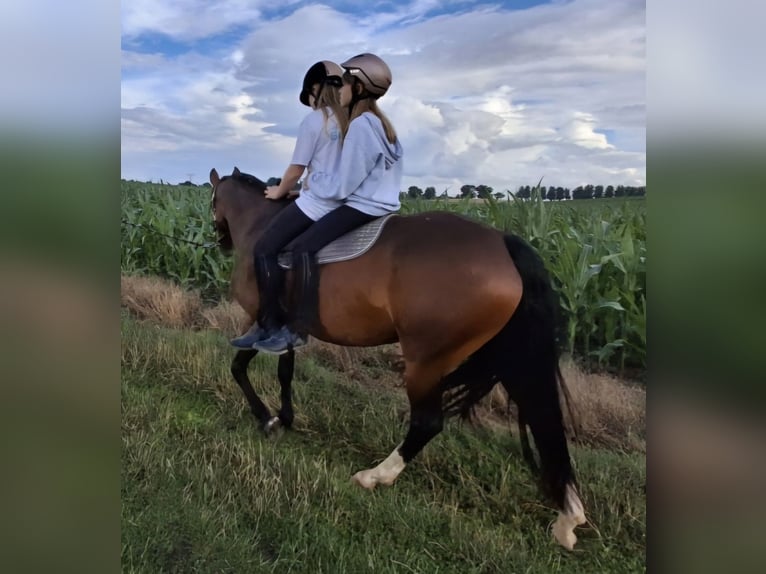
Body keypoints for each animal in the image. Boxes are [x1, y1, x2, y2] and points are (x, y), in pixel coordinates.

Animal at [209, 167, 586, 549]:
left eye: (212, 200)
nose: (220, 240)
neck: (260, 222)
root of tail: (503, 244)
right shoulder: (287, 330)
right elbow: (285, 371)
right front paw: (284, 418)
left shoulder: (261, 320)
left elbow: (238, 367)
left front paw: (267, 419)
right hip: (506, 356)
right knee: (540, 416)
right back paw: (569, 515)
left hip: (426, 362)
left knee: (427, 423)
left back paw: (375, 476)